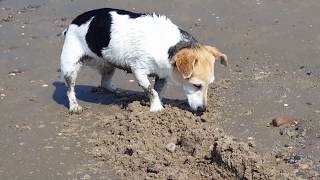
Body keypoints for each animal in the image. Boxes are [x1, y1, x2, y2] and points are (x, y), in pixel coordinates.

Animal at [59, 8, 228, 114]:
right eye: (196, 85)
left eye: (210, 84)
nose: (203, 110)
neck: (167, 45)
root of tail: (72, 24)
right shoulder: (139, 72)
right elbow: (150, 90)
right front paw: (156, 108)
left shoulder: (162, 75)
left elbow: (158, 90)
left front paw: (158, 103)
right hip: (70, 67)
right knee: (69, 90)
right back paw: (74, 106)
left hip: (108, 64)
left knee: (105, 82)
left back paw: (116, 91)